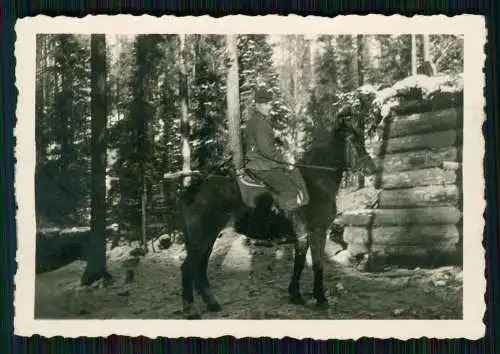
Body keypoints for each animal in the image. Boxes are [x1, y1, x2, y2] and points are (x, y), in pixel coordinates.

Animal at [178, 88, 376, 318]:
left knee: (200, 268)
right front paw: (320, 298)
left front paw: (296, 294)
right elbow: (317, 264)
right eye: (355, 140)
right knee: (188, 268)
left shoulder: (305, 235)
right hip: (203, 237)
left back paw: (212, 303)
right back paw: (191, 309)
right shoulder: (317, 231)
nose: (372, 169)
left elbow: (301, 262)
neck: (317, 180)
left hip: (208, 238)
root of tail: (193, 189)